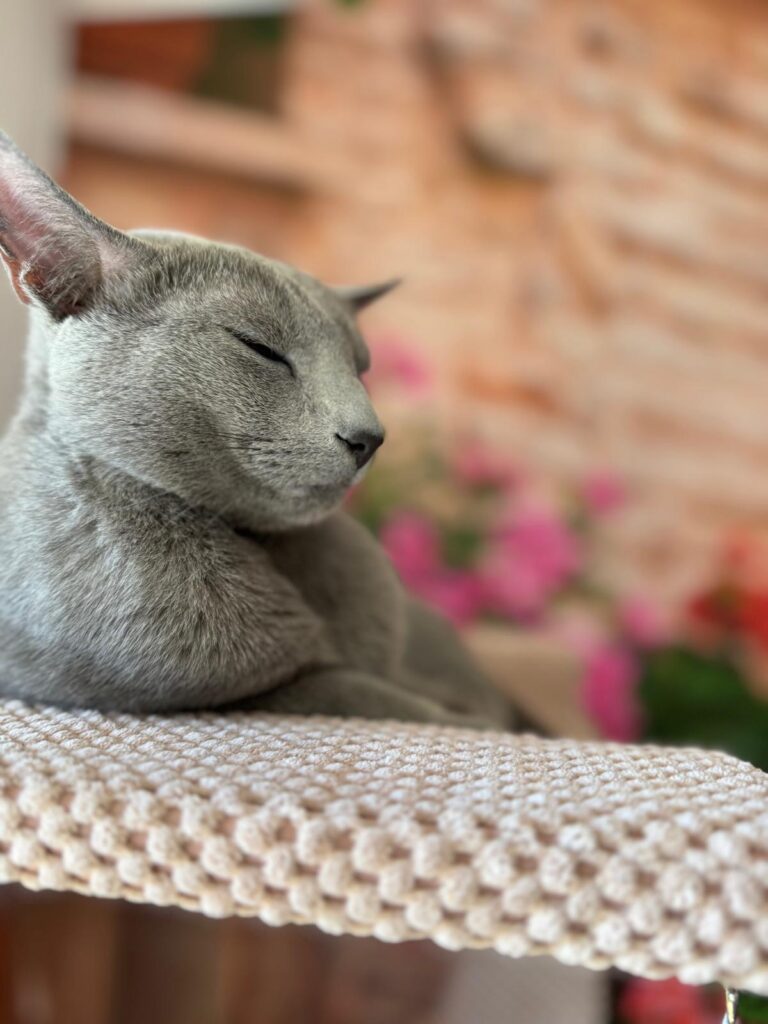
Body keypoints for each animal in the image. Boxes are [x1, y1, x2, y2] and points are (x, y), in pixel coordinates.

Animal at [0, 131, 510, 729]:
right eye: (261, 349)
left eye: (361, 367)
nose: (369, 436)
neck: (267, 551)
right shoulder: (239, 695)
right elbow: (356, 690)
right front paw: (461, 718)